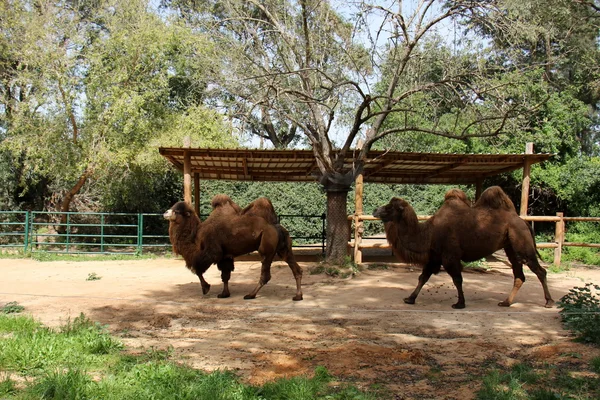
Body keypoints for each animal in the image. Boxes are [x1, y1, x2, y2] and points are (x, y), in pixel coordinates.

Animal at [164, 198, 304, 302]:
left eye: (177, 210)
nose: (165, 212)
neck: (197, 236)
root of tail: (278, 227)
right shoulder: (225, 256)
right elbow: (225, 275)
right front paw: (224, 294)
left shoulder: (213, 251)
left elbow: (197, 269)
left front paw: (206, 288)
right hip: (284, 248)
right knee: (296, 268)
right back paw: (298, 296)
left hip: (267, 247)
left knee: (266, 274)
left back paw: (250, 295)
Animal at [372, 187, 556, 310]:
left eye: (389, 207)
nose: (375, 210)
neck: (428, 233)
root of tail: (524, 221)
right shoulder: (435, 256)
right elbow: (423, 277)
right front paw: (410, 298)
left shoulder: (450, 256)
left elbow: (457, 279)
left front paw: (460, 303)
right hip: (510, 246)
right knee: (519, 275)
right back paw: (506, 302)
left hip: (521, 242)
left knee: (539, 271)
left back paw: (549, 302)